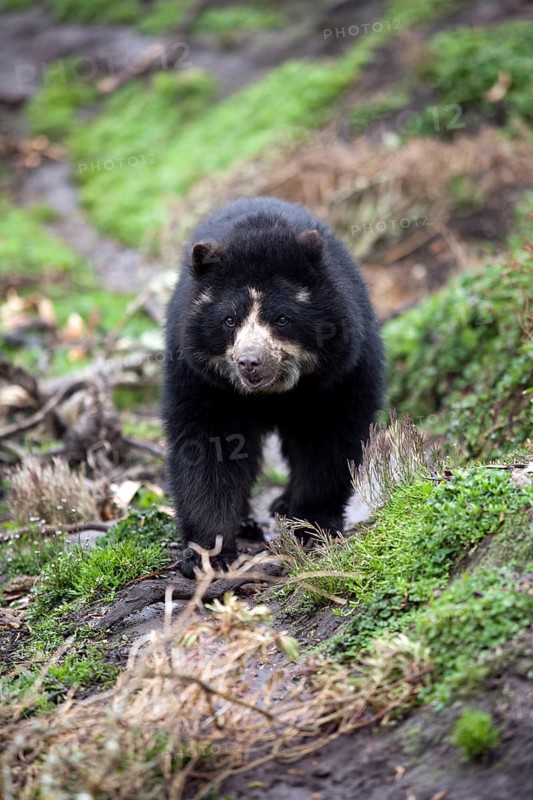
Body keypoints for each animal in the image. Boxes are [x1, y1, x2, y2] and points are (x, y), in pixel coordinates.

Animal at [162, 196, 384, 578]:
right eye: (229, 320)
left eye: (282, 319)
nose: (250, 362)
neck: (271, 394)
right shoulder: (201, 379)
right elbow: (208, 447)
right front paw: (208, 555)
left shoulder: (340, 374)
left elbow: (327, 441)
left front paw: (310, 526)